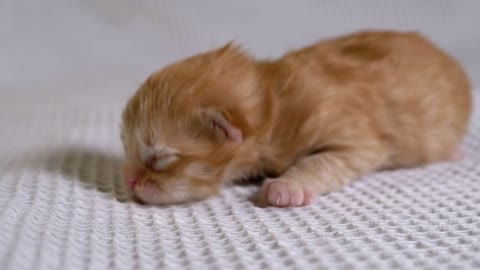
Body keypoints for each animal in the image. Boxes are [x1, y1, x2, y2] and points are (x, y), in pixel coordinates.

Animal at [120, 30, 472, 207]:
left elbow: (319, 162)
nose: (128, 180)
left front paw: (286, 187)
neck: (275, 102)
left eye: (160, 158)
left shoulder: (356, 139)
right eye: (126, 149)